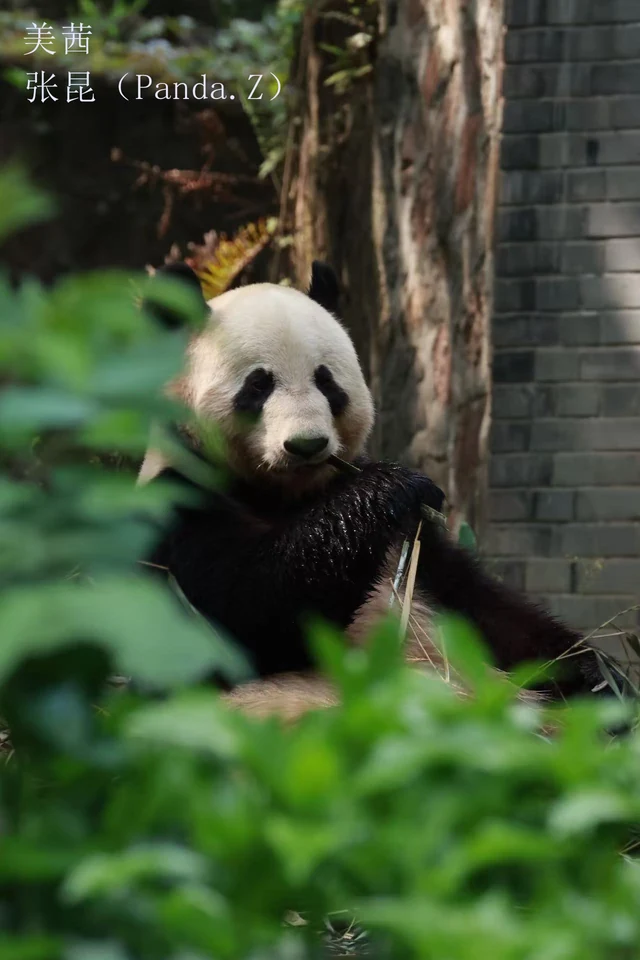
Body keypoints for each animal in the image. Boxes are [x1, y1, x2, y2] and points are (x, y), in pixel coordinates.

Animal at [137, 260, 619, 720]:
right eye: (258, 385)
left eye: (327, 381)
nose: (307, 445)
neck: (283, 496)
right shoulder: (176, 509)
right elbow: (248, 614)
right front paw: (388, 488)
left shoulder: (421, 550)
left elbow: (486, 609)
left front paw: (598, 674)